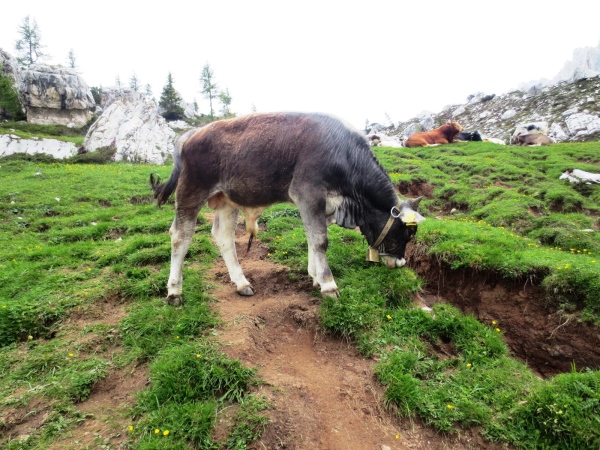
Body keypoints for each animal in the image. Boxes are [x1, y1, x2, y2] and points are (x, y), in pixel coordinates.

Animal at [150, 112, 425, 305]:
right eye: (404, 233)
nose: (400, 263)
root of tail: (192, 134)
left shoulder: (320, 205)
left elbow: (313, 239)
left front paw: (314, 277)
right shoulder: (308, 193)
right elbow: (320, 241)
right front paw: (328, 285)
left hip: (227, 201)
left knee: (223, 237)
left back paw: (241, 282)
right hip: (191, 191)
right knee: (180, 236)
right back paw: (174, 291)